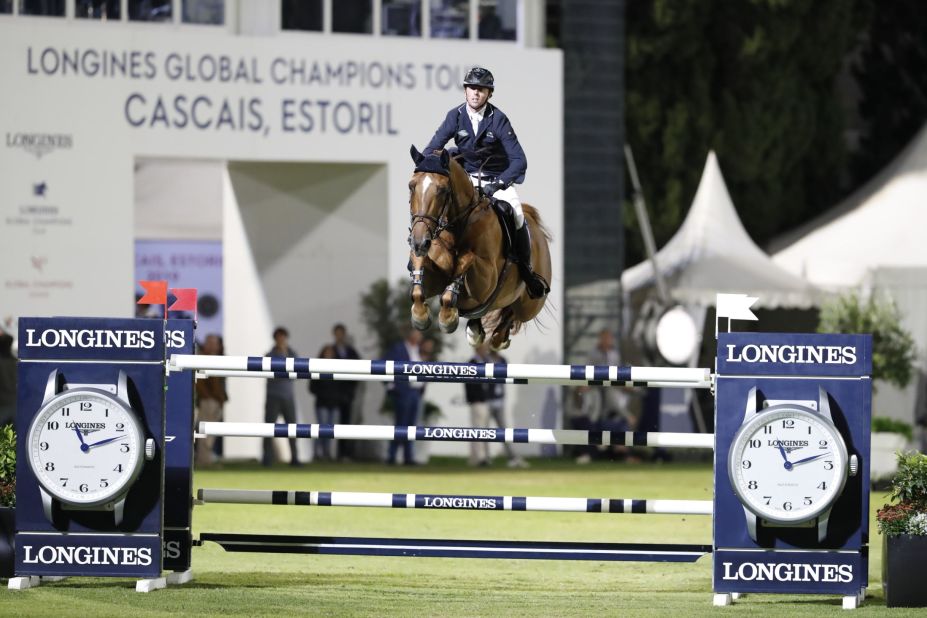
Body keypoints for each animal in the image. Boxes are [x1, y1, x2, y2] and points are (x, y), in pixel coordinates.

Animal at [408, 144, 552, 346]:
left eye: (443, 190)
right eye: (411, 186)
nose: (419, 242)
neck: (457, 226)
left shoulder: (485, 281)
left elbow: (467, 258)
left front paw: (447, 319)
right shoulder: (432, 277)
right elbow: (419, 280)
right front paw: (420, 317)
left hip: (530, 305)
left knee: (514, 313)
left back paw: (498, 338)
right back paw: (478, 331)